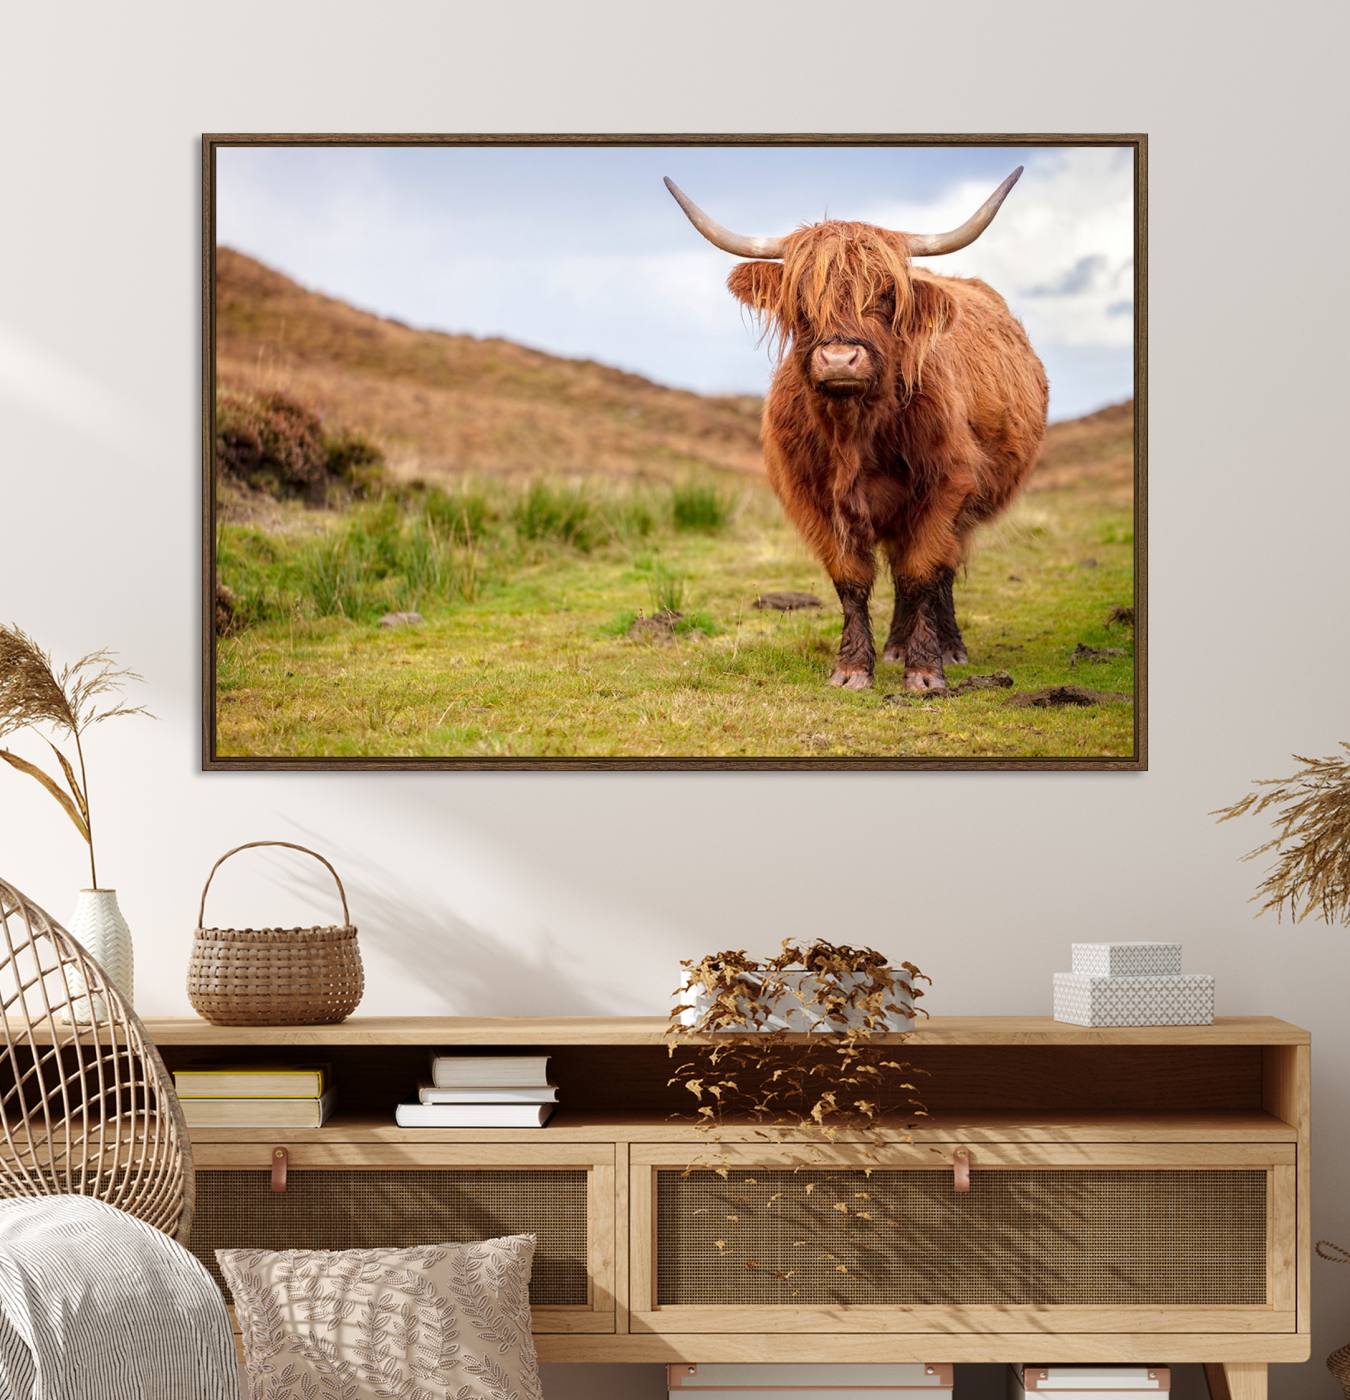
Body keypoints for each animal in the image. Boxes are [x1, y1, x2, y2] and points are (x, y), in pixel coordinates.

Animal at [665, 169, 1048, 694]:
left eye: (886, 295)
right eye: (801, 298)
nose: (839, 359)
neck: (854, 432)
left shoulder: (945, 487)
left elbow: (922, 572)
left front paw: (926, 671)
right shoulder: (814, 499)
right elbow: (851, 579)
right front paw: (852, 668)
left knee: (939, 572)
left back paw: (947, 646)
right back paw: (894, 647)